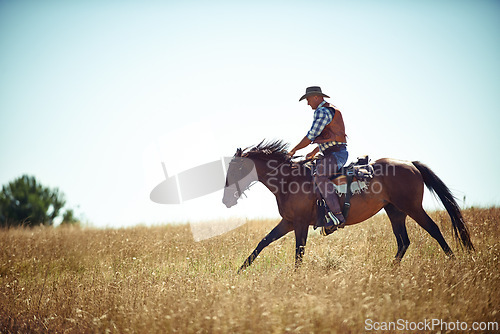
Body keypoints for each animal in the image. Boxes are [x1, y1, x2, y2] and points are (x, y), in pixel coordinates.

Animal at [225, 140, 474, 272]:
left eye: (236, 169)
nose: (226, 200)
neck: (289, 180)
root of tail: (409, 163)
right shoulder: (288, 222)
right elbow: (263, 242)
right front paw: (239, 272)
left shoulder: (300, 223)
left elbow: (299, 252)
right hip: (395, 211)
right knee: (403, 241)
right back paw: (390, 270)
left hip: (412, 208)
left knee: (433, 229)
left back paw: (454, 262)